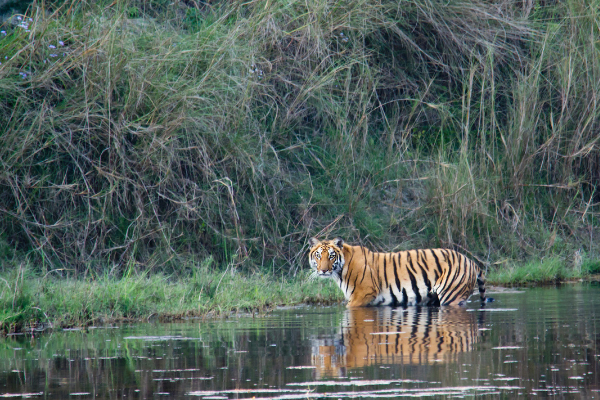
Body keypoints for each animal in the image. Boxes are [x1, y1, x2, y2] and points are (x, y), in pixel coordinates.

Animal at [308, 238, 494, 306]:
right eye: (318, 255)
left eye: (331, 256)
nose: (323, 270)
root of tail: (471, 262)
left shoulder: (363, 294)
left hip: (451, 296)